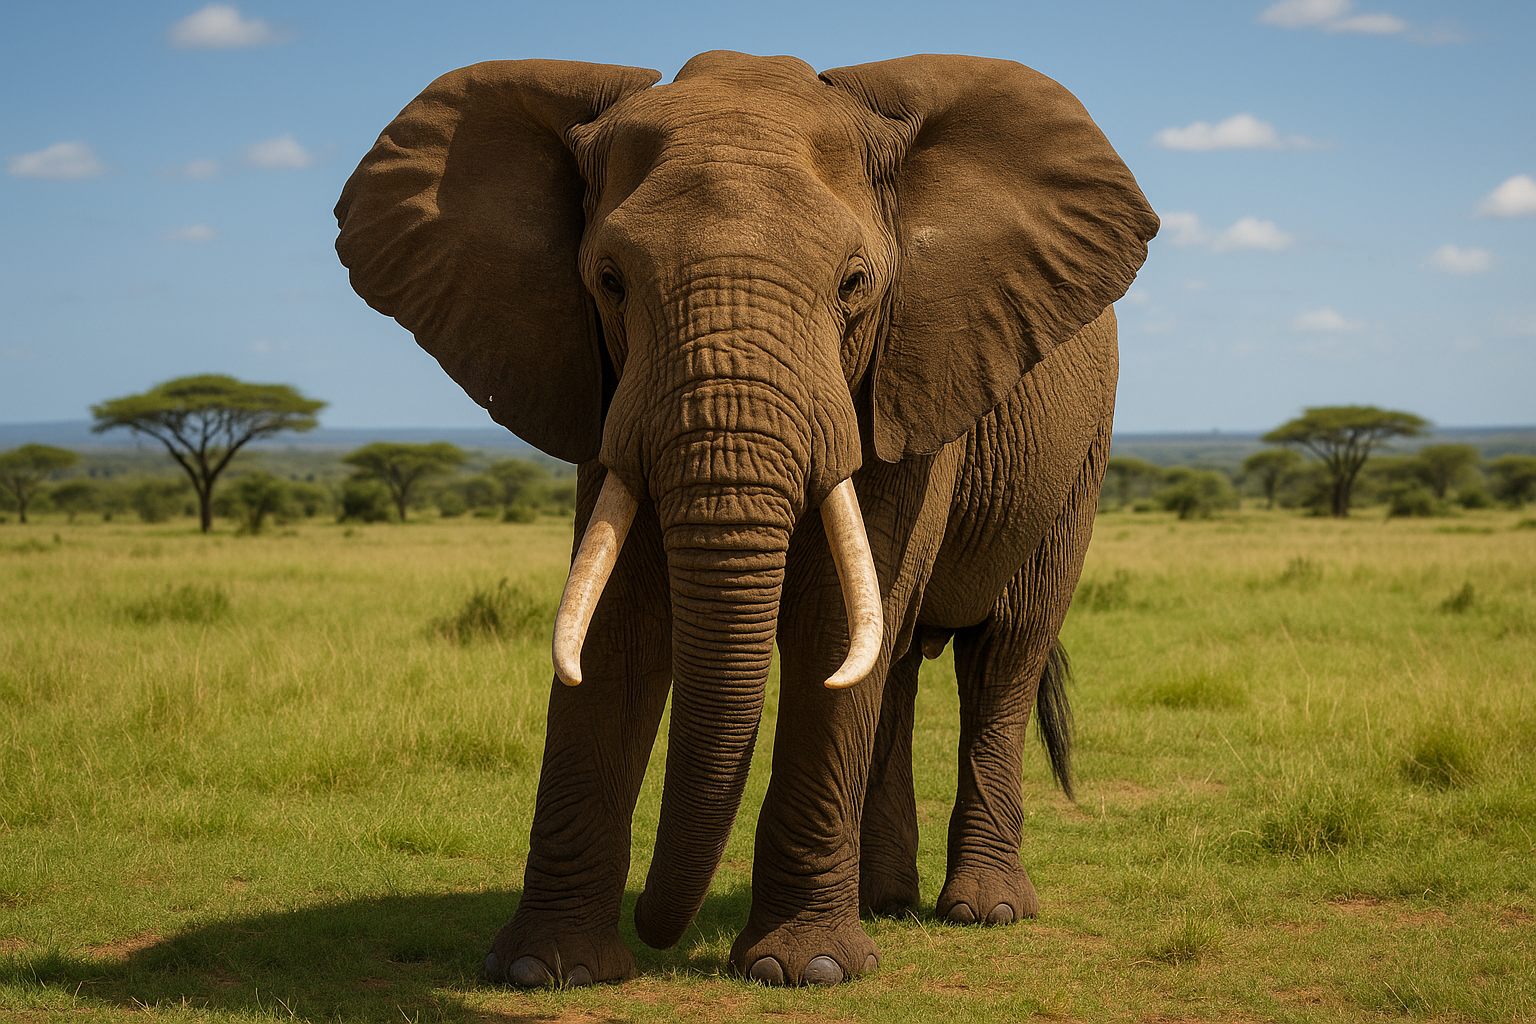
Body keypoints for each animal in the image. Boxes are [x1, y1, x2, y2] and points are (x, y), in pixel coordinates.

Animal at [335, 51, 1157, 987]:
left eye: (855, 285)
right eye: (609, 282)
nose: (656, 935)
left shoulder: (906, 366)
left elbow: (832, 620)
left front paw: (807, 971)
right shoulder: (601, 385)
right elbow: (620, 621)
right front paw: (547, 969)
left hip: (1079, 462)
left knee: (1003, 653)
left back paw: (984, 912)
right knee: (898, 665)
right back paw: (885, 902)